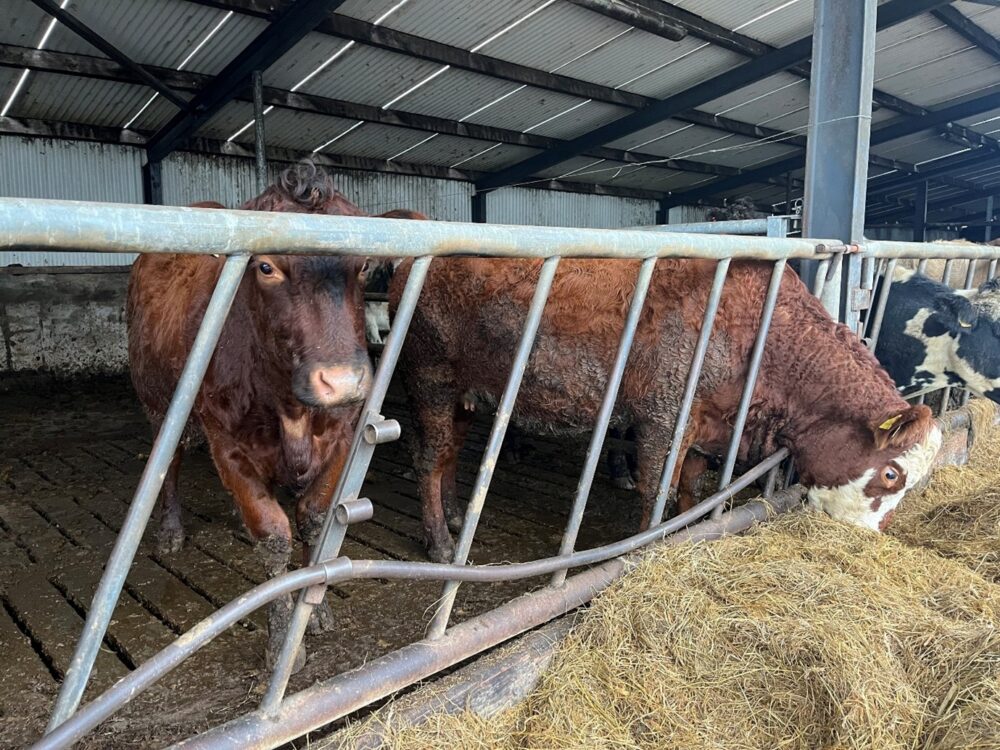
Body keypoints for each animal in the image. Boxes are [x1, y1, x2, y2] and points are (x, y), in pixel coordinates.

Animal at [128, 162, 381, 672]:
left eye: (365, 265)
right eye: (266, 266)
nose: (342, 381)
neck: (291, 409)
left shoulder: (343, 437)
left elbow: (315, 519)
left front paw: (316, 610)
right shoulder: (229, 445)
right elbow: (272, 536)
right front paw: (283, 638)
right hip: (160, 404)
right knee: (170, 464)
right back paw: (170, 531)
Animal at [390, 258, 942, 563]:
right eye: (892, 474)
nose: (870, 540)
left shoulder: (707, 428)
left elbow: (691, 489)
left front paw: (689, 529)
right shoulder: (662, 417)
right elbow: (657, 490)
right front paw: (646, 546)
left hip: (465, 395)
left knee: (448, 454)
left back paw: (457, 516)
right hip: (429, 380)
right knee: (427, 458)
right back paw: (440, 543)